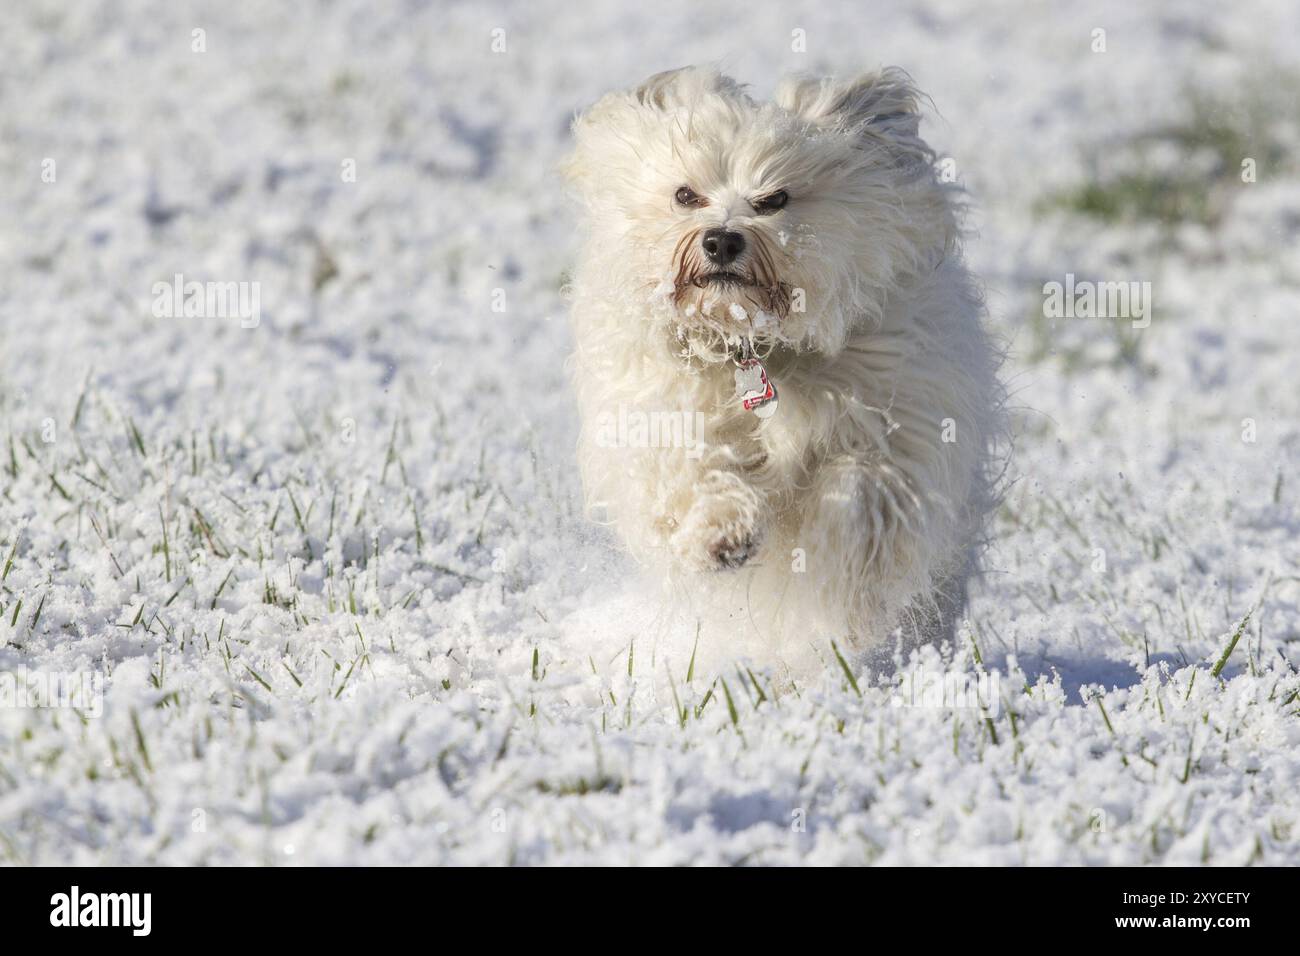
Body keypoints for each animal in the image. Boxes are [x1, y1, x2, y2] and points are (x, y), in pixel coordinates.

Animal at [564, 67, 998, 658]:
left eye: (776, 198)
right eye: (684, 194)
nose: (722, 240)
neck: (751, 341)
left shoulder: (901, 415)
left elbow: (865, 486)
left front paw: (840, 561)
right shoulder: (658, 409)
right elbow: (689, 463)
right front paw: (723, 532)